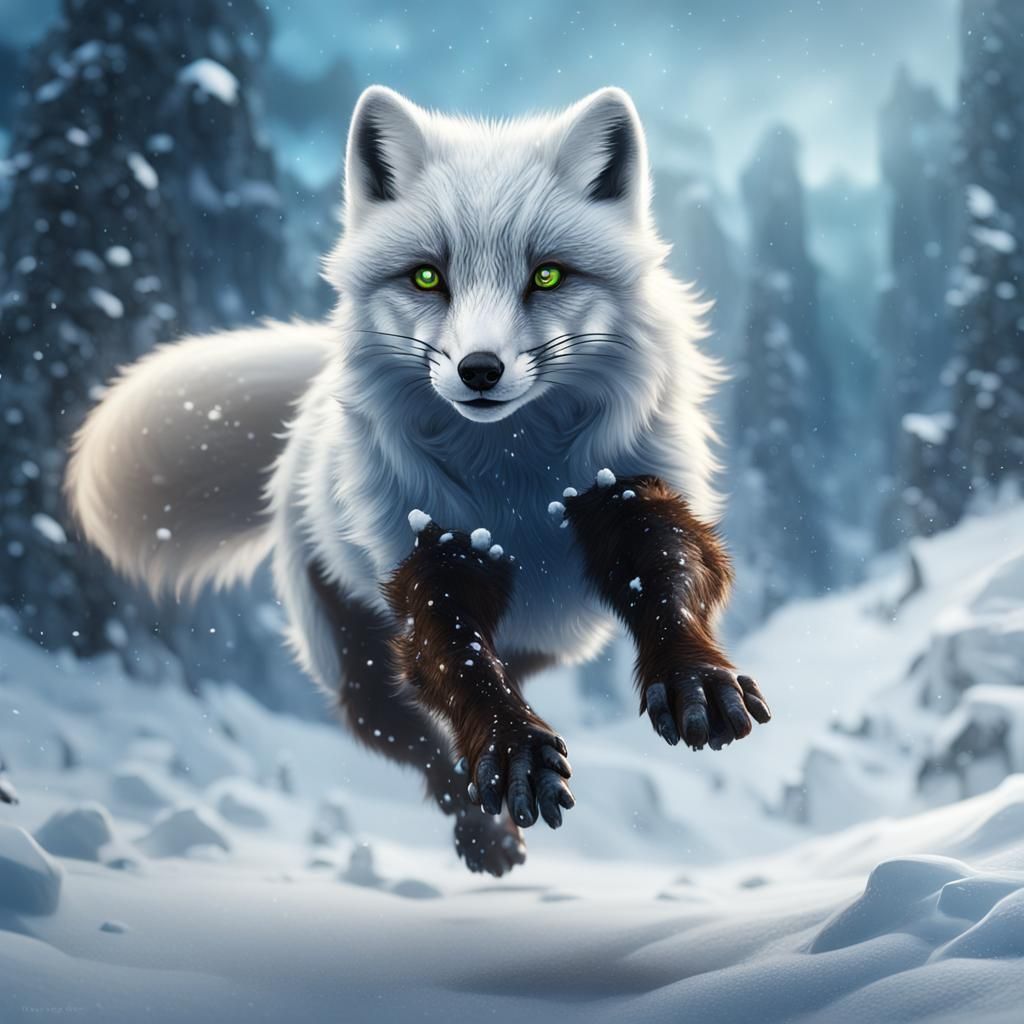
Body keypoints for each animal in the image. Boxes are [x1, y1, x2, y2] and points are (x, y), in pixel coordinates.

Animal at [67, 85, 771, 876]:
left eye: (548, 275)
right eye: (428, 276)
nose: (479, 370)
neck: (515, 482)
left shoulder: (627, 492)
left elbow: (668, 579)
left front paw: (694, 683)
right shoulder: (434, 552)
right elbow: (461, 663)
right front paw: (515, 755)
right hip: (358, 668)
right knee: (420, 741)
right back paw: (487, 835)